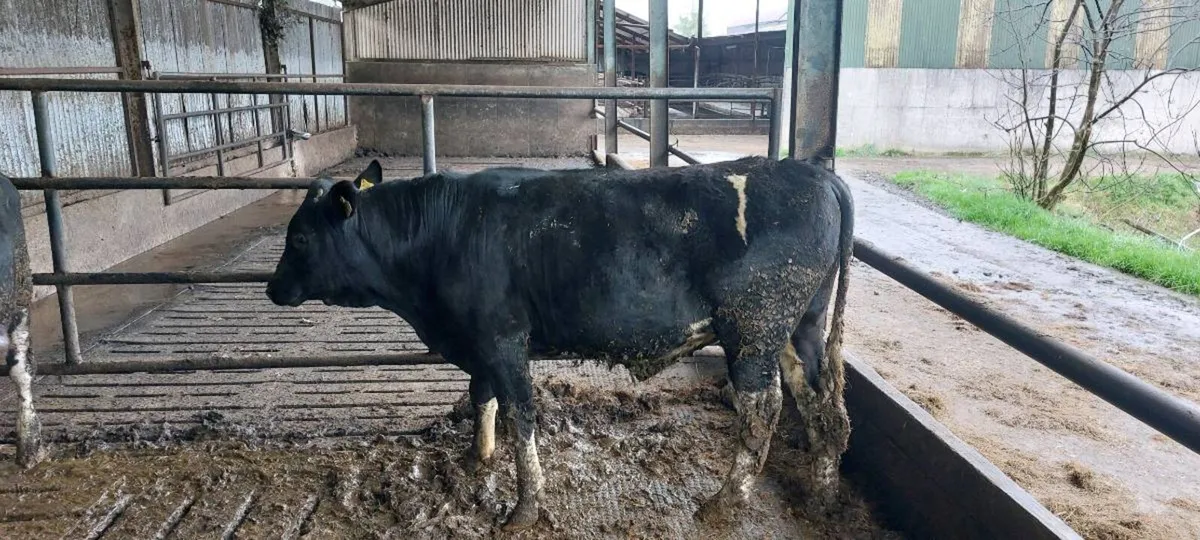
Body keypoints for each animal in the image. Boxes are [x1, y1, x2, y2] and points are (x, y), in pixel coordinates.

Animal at [266, 156, 853, 530]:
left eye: (300, 238)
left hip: (752, 330)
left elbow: (520, 413)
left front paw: (524, 508)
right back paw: (822, 494)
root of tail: (816, 173)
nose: (271, 288)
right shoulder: (479, 341)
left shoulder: (503, 337)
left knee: (762, 411)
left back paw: (724, 503)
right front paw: (476, 460)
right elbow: (481, 396)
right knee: (821, 405)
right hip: (797, 328)